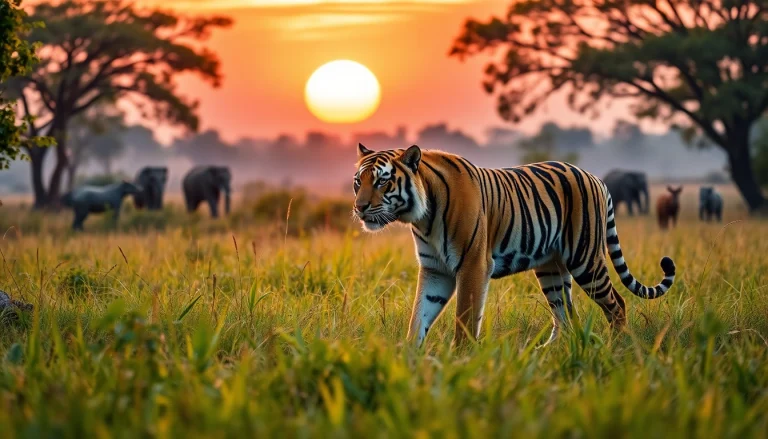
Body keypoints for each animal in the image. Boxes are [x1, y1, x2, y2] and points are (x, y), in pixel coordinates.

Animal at [352, 143, 676, 347]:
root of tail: (596, 178)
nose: (359, 208)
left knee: (617, 304)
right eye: (358, 182)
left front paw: (459, 360)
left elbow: (465, 319)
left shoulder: (473, 265)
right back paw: (545, 356)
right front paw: (409, 360)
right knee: (565, 317)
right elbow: (418, 318)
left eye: (382, 182)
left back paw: (615, 348)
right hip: (551, 269)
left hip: (585, 259)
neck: (422, 216)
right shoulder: (435, 270)